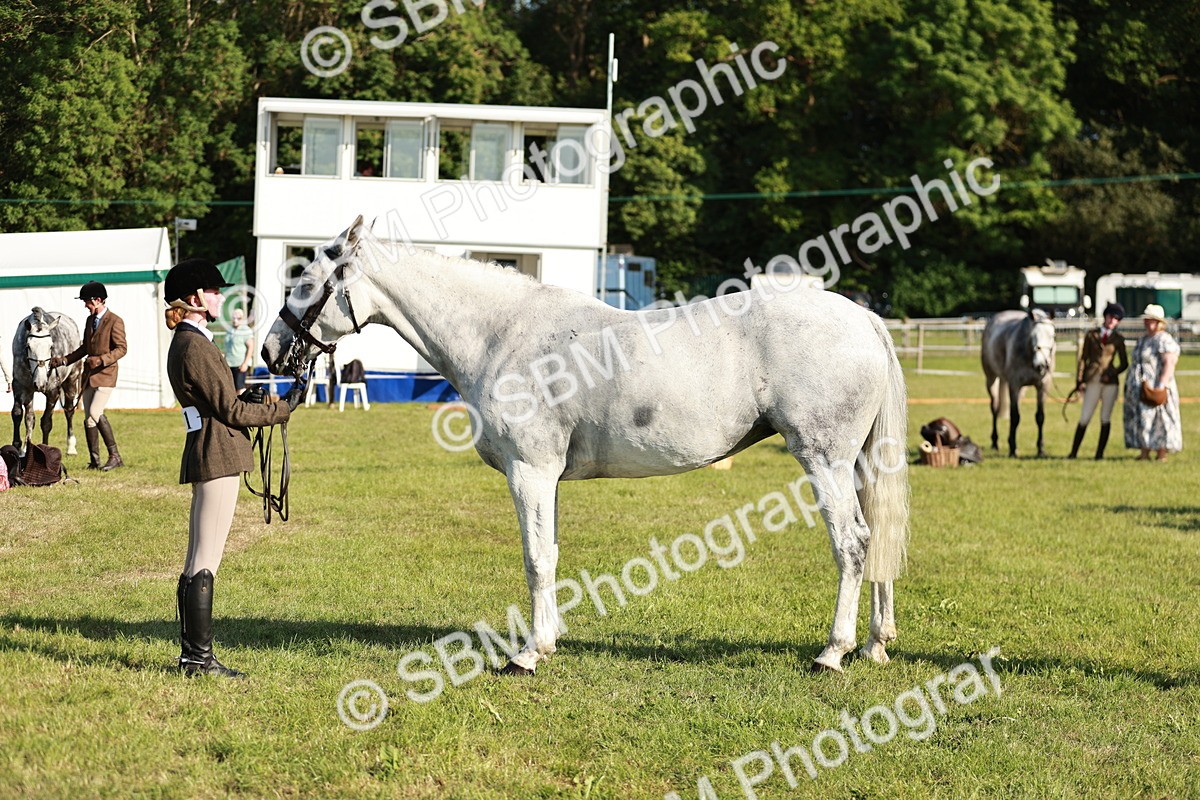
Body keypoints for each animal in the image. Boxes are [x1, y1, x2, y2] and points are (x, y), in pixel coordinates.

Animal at [11, 308, 83, 457]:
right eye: (28, 346)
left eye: (51, 346)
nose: (40, 384)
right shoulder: (20, 387)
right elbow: (19, 415)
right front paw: (19, 448)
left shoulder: (53, 392)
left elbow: (46, 422)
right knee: (29, 418)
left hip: (71, 381)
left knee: (69, 411)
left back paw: (71, 447)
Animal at [260, 217, 910, 675]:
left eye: (306, 281)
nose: (270, 352)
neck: (501, 332)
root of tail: (863, 319)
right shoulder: (546, 477)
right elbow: (549, 553)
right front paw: (547, 642)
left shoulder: (530, 471)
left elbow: (535, 558)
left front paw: (527, 655)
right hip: (856, 465)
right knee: (876, 537)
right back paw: (876, 645)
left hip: (823, 460)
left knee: (852, 543)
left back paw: (833, 651)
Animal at [981, 309, 1056, 457]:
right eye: (1033, 336)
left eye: (1052, 335)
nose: (1041, 365)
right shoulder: (1014, 385)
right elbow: (1015, 417)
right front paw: (1012, 449)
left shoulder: (1042, 386)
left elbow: (1040, 417)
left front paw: (1040, 449)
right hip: (991, 379)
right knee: (995, 408)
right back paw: (995, 442)